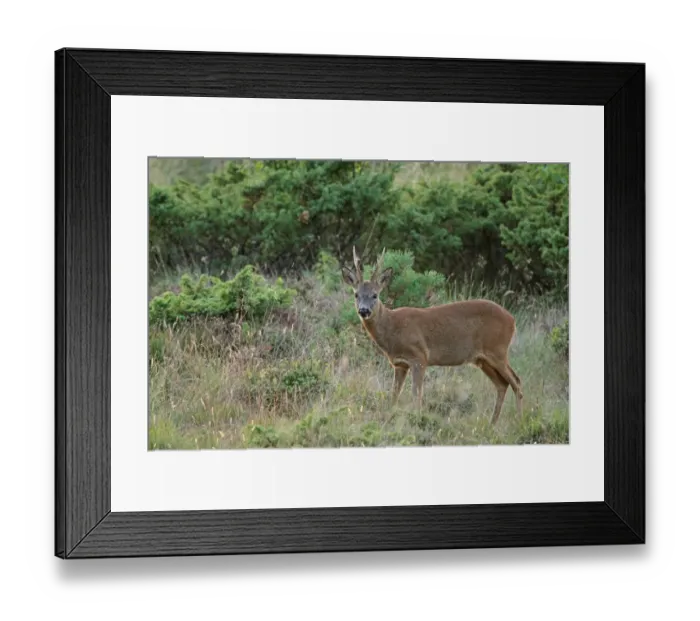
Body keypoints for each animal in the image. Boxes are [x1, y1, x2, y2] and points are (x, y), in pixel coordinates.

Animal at [341, 247, 524, 424]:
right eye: (356, 294)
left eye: (375, 295)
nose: (364, 310)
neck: (392, 327)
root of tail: (512, 320)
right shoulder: (400, 364)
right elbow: (394, 395)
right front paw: (390, 416)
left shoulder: (420, 356)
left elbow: (416, 395)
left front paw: (417, 419)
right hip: (483, 359)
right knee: (502, 384)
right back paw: (492, 424)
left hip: (498, 350)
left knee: (516, 381)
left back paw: (519, 421)